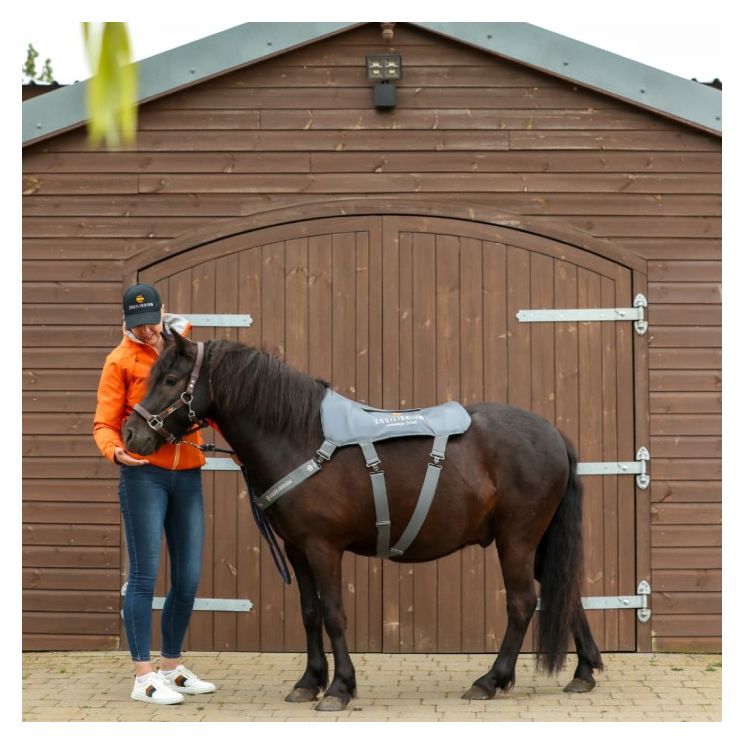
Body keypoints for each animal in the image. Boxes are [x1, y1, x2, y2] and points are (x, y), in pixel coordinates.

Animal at [123, 330, 603, 711]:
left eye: (170, 380)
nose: (131, 434)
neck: (302, 437)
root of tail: (553, 435)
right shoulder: (298, 549)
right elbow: (310, 613)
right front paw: (309, 682)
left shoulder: (324, 548)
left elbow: (334, 614)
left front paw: (339, 688)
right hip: (538, 541)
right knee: (565, 592)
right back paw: (583, 672)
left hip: (516, 539)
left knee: (522, 603)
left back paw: (491, 680)